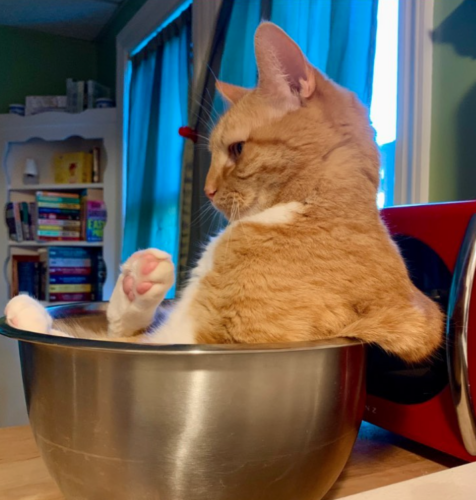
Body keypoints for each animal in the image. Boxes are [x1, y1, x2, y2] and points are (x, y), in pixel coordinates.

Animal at [2, 23, 442, 362]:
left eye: (237, 150)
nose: (209, 190)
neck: (308, 207)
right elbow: (121, 333)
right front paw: (139, 283)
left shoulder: (212, 337)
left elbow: (86, 337)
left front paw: (29, 312)